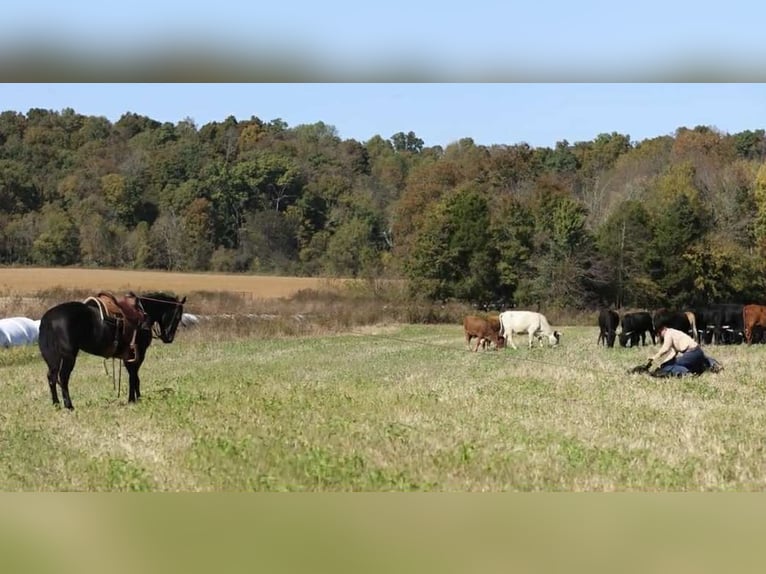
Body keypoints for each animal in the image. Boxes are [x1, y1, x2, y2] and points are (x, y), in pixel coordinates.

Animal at [38, 291, 186, 410]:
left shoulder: (128, 355)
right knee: (63, 378)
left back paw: (56, 404)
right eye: (178, 316)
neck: (144, 313)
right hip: (69, 357)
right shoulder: (139, 353)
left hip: (52, 358)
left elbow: (133, 376)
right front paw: (134, 399)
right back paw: (69, 406)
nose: (169, 338)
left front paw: (136, 398)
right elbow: (134, 376)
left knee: (51, 377)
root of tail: (48, 319)